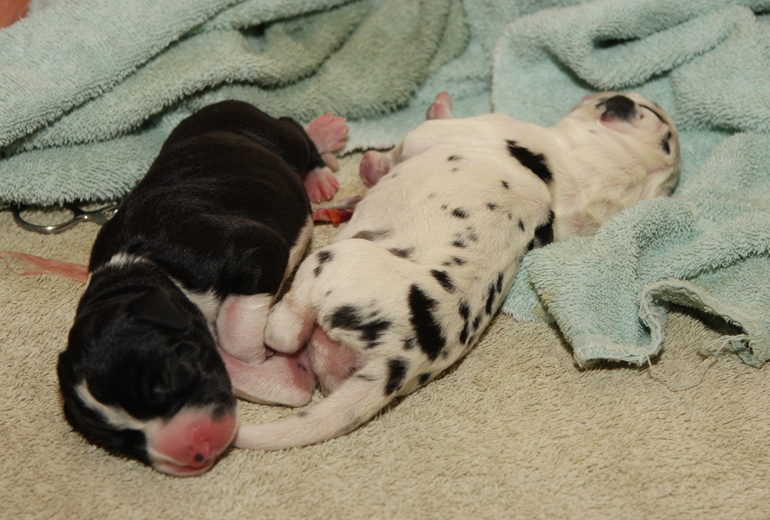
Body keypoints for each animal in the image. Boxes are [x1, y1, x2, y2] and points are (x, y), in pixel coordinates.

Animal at [58, 99, 346, 478]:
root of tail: (222, 103)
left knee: (295, 131)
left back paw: (322, 159)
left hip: (271, 135)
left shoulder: (251, 251)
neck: (141, 269)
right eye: (123, 441)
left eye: (162, 383)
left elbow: (236, 332)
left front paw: (258, 356)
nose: (195, 452)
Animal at [234, 90, 680, 450]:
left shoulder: (442, 132)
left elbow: (411, 139)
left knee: (284, 332)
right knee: (293, 382)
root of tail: (399, 358)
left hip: (334, 261)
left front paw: (383, 155)